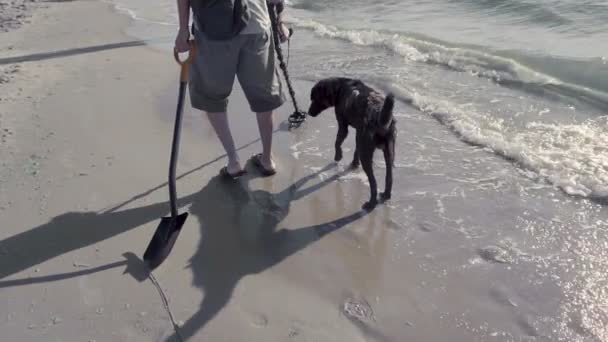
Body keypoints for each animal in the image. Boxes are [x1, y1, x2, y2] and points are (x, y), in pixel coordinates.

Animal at [308, 77, 394, 210]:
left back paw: (371, 203)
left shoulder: (343, 126)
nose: (308, 112)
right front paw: (354, 163)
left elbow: (337, 142)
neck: (339, 88)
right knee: (389, 177)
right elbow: (355, 150)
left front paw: (338, 156)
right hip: (389, 152)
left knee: (373, 183)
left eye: (314, 98)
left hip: (367, 153)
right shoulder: (359, 134)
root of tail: (378, 113)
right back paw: (386, 194)